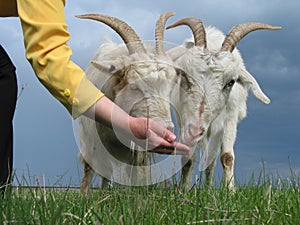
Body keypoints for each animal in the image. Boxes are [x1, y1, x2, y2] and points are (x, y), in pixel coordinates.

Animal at [77, 12, 180, 195]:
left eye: (170, 89)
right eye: (134, 86)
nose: (164, 130)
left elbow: (137, 172)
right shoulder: (92, 141)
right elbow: (90, 170)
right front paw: (84, 196)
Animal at [166, 18, 282, 190]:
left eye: (231, 82)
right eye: (185, 76)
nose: (197, 128)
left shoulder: (229, 118)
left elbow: (226, 157)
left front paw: (230, 191)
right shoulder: (185, 120)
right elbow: (188, 157)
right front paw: (183, 189)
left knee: (211, 161)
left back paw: (208, 188)